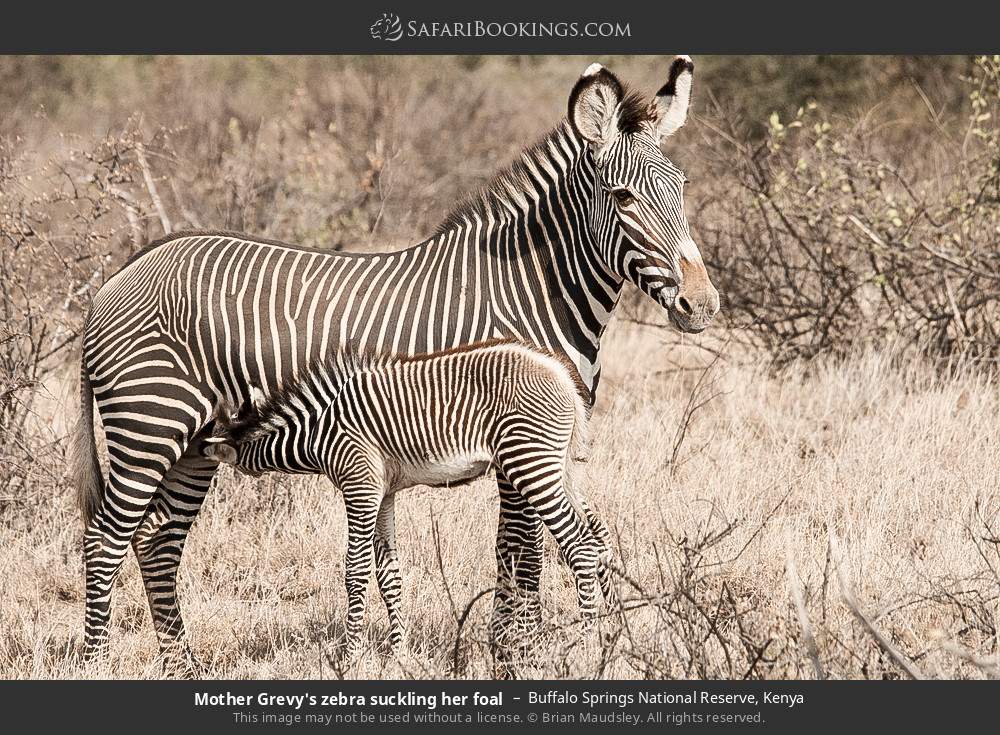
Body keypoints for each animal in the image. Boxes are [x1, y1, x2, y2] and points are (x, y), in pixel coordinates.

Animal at [199, 339, 615, 664]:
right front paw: (397, 652)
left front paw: (350, 655)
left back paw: (583, 642)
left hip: (530, 464)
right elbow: (389, 575)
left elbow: (355, 570)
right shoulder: (383, 493)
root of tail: (562, 376)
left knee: (579, 546)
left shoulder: (359, 483)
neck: (318, 432)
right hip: (560, 468)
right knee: (599, 538)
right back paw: (609, 633)